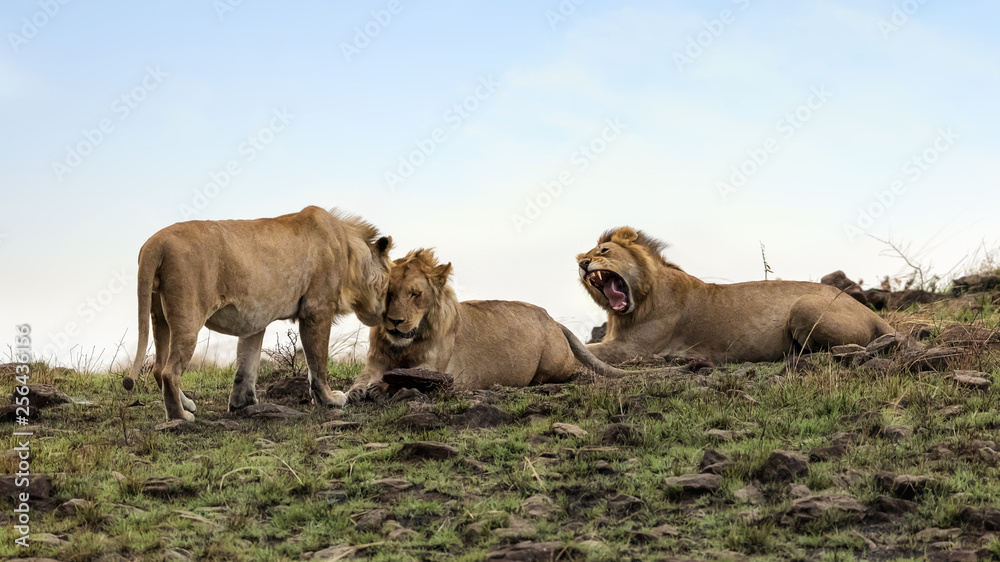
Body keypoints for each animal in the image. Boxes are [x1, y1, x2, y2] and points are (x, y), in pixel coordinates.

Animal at [126, 206, 393, 421]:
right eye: (389, 283)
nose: (386, 316)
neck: (349, 252)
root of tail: (155, 243)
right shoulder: (316, 309)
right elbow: (318, 363)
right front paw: (330, 400)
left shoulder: (254, 320)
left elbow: (246, 365)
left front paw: (241, 404)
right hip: (188, 317)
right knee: (170, 372)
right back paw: (180, 417)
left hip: (159, 317)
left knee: (158, 368)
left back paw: (188, 405)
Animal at [347, 248, 644, 401]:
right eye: (389, 293)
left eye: (415, 294)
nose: (395, 322)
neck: (403, 345)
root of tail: (552, 319)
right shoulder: (375, 362)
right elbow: (360, 379)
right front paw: (356, 391)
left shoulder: (435, 370)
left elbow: (400, 378)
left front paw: (379, 388)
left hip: (551, 365)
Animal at [576, 227, 895, 365]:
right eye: (583, 256)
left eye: (604, 251)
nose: (582, 263)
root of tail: (868, 312)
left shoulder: (635, 348)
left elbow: (587, 349)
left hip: (803, 305)